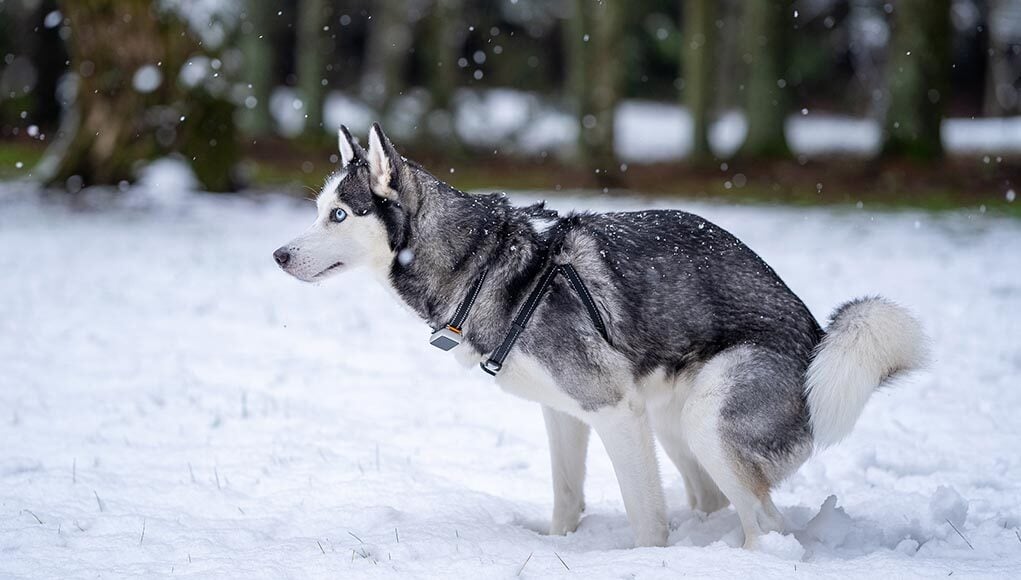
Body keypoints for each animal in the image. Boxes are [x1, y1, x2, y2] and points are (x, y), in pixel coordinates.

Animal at [271, 124, 927, 551]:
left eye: (339, 215)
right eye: (319, 209)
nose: (278, 255)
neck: (483, 263)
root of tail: (818, 341)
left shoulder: (614, 410)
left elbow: (646, 519)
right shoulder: (566, 414)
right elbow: (567, 495)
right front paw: (560, 545)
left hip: (706, 420)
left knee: (768, 525)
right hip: (671, 418)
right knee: (721, 505)